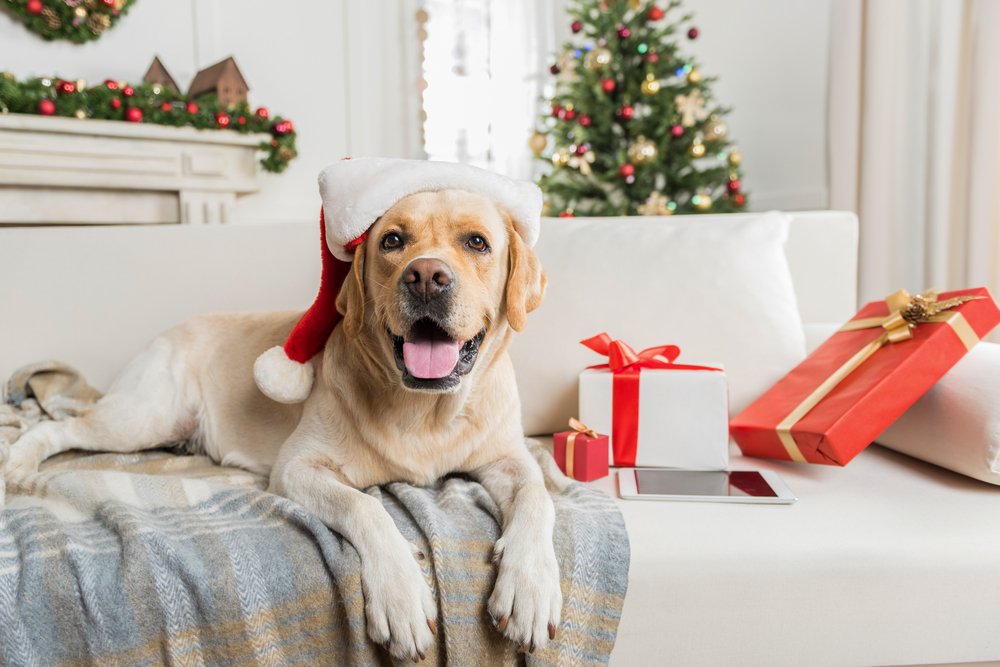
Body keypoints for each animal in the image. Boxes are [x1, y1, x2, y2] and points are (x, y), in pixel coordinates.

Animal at [3, 188, 560, 664]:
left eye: (477, 242)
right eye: (392, 241)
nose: (425, 275)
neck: (426, 409)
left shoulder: (509, 458)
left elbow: (539, 496)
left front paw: (530, 586)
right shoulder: (297, 467)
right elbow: (365, 506)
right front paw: (400, 594)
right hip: (142, 417)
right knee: (59, 426)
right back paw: (20, 463)